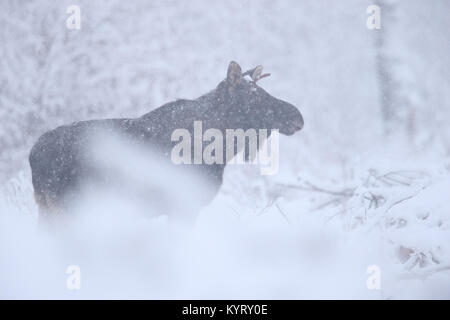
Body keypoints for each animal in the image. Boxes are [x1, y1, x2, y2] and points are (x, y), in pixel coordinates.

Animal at [29, 62, 304, 221]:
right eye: (254, 98)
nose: (297, 116)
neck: (221, 152)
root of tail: (32, 154)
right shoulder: (183, 207)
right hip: (67, 207)